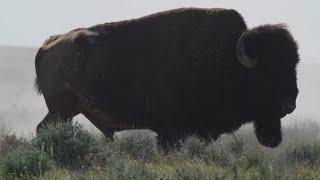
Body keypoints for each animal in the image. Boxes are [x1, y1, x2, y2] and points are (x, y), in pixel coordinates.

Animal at [35, 7, 300, 148]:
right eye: (268, 71)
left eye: (294, 65)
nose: (290, 104)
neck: (226, 57)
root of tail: (49, 44)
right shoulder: (170, 132)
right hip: (61, 111)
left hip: (65, 112)